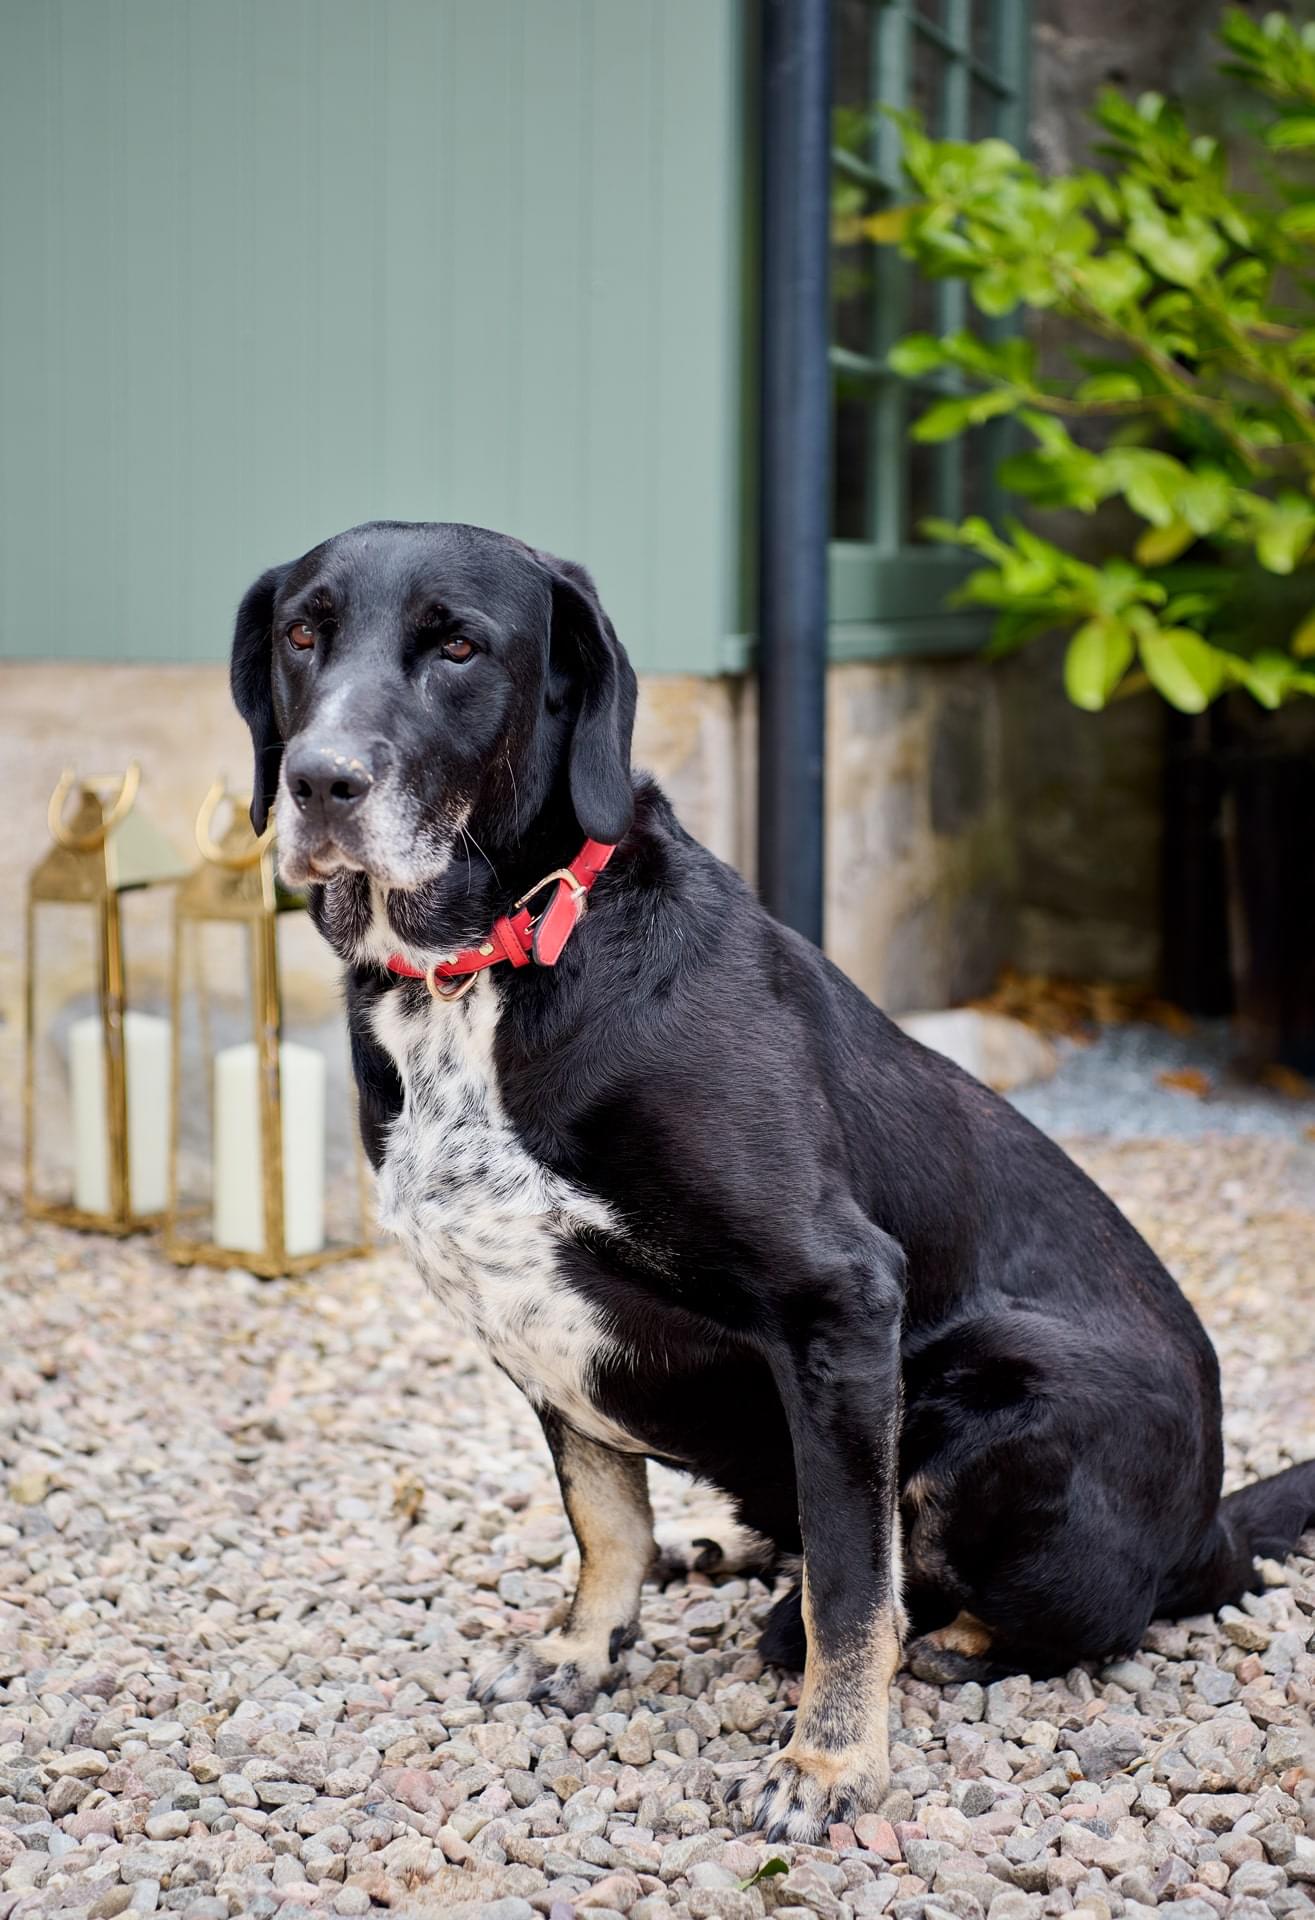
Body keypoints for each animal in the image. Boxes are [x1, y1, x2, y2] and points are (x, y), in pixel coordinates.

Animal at [231, 519, 1315, 1842]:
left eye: (459, 647)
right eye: (302, 635)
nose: (319, 781)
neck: (489, 971)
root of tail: (1212, 1523)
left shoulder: (835, 1299)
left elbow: (852, 1586)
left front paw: (832, 1762)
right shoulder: (529, 1321)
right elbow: (605, 1516)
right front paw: (585, 1649)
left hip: (1018, 1396)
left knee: (1069, 1611)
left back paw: (925, 1636)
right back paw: (728, 1554)